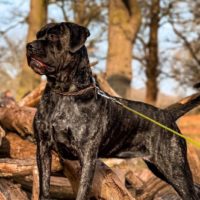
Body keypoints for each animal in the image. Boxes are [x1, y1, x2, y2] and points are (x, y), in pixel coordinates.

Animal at [27, 21, 200, 200]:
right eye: (38, 35)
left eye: (53, 36)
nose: (29, 46)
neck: (63, 93)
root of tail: (167, 114)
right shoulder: (43, 148)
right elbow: (44, 187)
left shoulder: (87, 156)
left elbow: (82, 191)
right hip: (161, 169)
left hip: (175, 168)